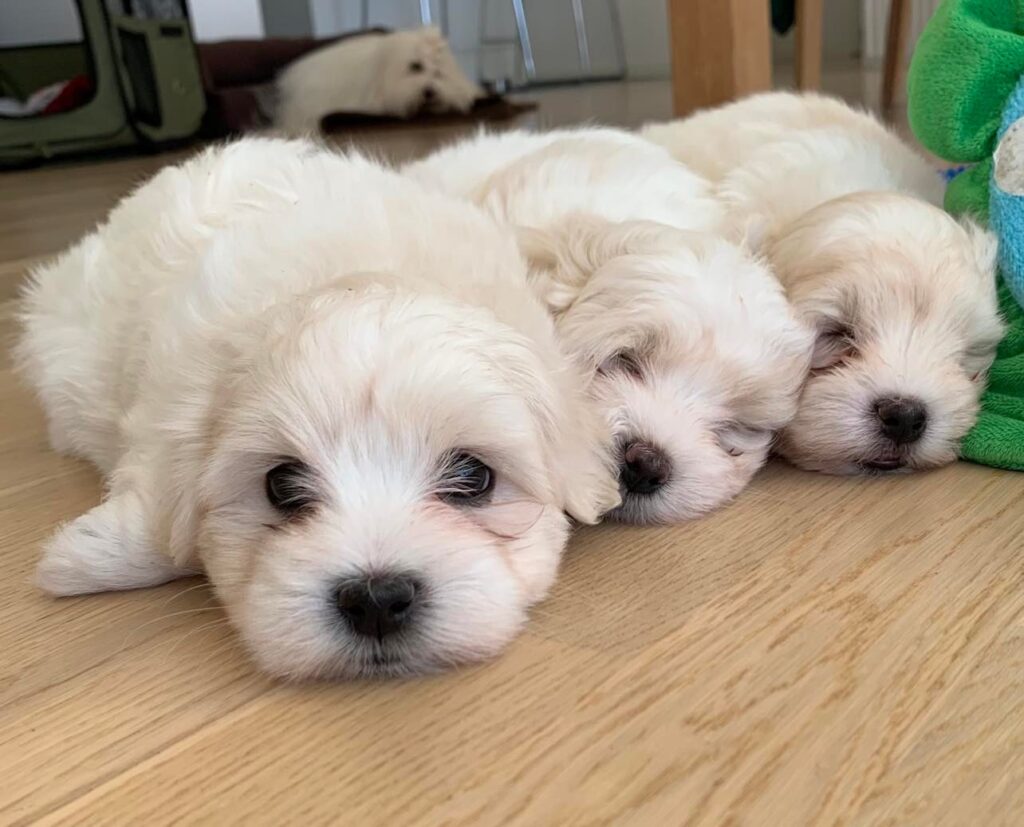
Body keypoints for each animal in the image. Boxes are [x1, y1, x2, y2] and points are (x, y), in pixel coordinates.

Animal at [17, 138, 619, 680]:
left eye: (474, 477)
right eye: (280, 485)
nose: (377, 598)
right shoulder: (168, 410)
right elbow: (162, 516)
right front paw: (87, 557)